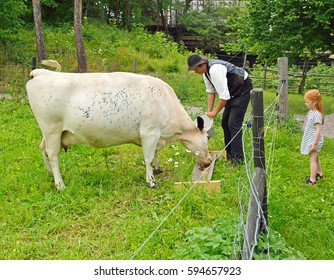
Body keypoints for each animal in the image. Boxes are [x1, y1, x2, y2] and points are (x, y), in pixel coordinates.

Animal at [27, 68, 213, 190]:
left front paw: (157, 169)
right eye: (206, 142)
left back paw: (49, 174)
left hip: (52, 133)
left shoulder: (156, 135)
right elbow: (148, 158)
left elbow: (155, 154)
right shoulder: (149, 132)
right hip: (52, 128)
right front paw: (151, 181)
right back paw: (60, 184)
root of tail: (43, 72)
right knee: (53, 154)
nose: (209, 161)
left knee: (43, 149)